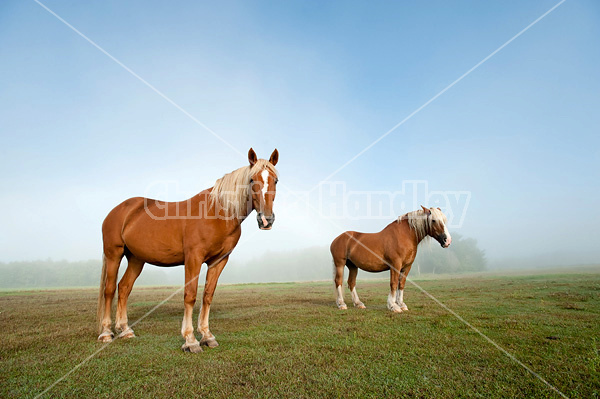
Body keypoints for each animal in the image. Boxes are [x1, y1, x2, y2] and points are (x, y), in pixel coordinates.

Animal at [96, 149, 278, 354]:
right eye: (251, 180)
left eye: (276, 180)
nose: (266, 220)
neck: (216, 212)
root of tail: (118, 210)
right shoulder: (193, 259)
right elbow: (190, 296)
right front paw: (190, 340)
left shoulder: (219, 261)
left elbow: (207, 295)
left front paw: (207, 336)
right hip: (114, 254)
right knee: (110, 289)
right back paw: (106, 333)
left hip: (136, 259)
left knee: (124, 288)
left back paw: (125, 330)